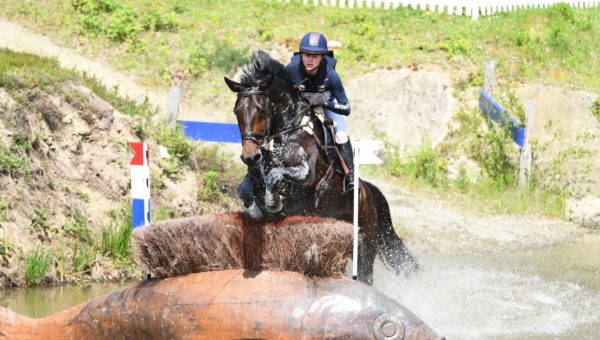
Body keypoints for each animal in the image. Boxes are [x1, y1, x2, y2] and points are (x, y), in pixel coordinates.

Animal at [225, 50, 418, 284]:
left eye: (261, 111)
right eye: (236, 111)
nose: (250, 157)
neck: (288, 130)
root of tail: (367, 192)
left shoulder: (306, 176)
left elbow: (275, 176)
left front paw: (272, 202)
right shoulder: (256, 176)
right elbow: (245, 187)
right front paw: (255, 210)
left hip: (366, 243)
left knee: (365, 276)